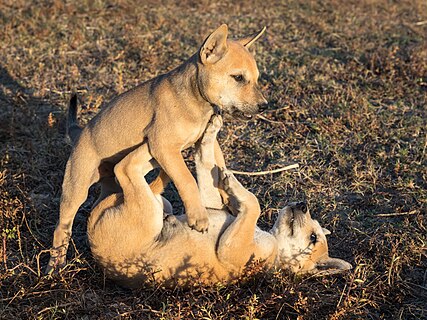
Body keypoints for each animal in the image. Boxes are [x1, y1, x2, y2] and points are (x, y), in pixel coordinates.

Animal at [46, 24, 268, 272]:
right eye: (238, 77)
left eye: (256, 79)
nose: (264, 106)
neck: (194, 98)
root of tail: (79, 133)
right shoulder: (164, 147)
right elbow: (187, 180)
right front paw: (199, 216)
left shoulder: (205, 143)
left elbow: (217, 167)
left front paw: (228, 195)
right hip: (76, 189)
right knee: (62, 228)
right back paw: (54, 267)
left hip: (111, 186)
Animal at [87, 115, 352, 288]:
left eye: (313, 238)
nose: (303, 204)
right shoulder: (209, 203)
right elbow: (207, 165)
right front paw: (210, 136)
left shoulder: (231, 249)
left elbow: (253, 202)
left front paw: (233, 184)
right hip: (160, 203)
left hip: (148, 211)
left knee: (126, 168)